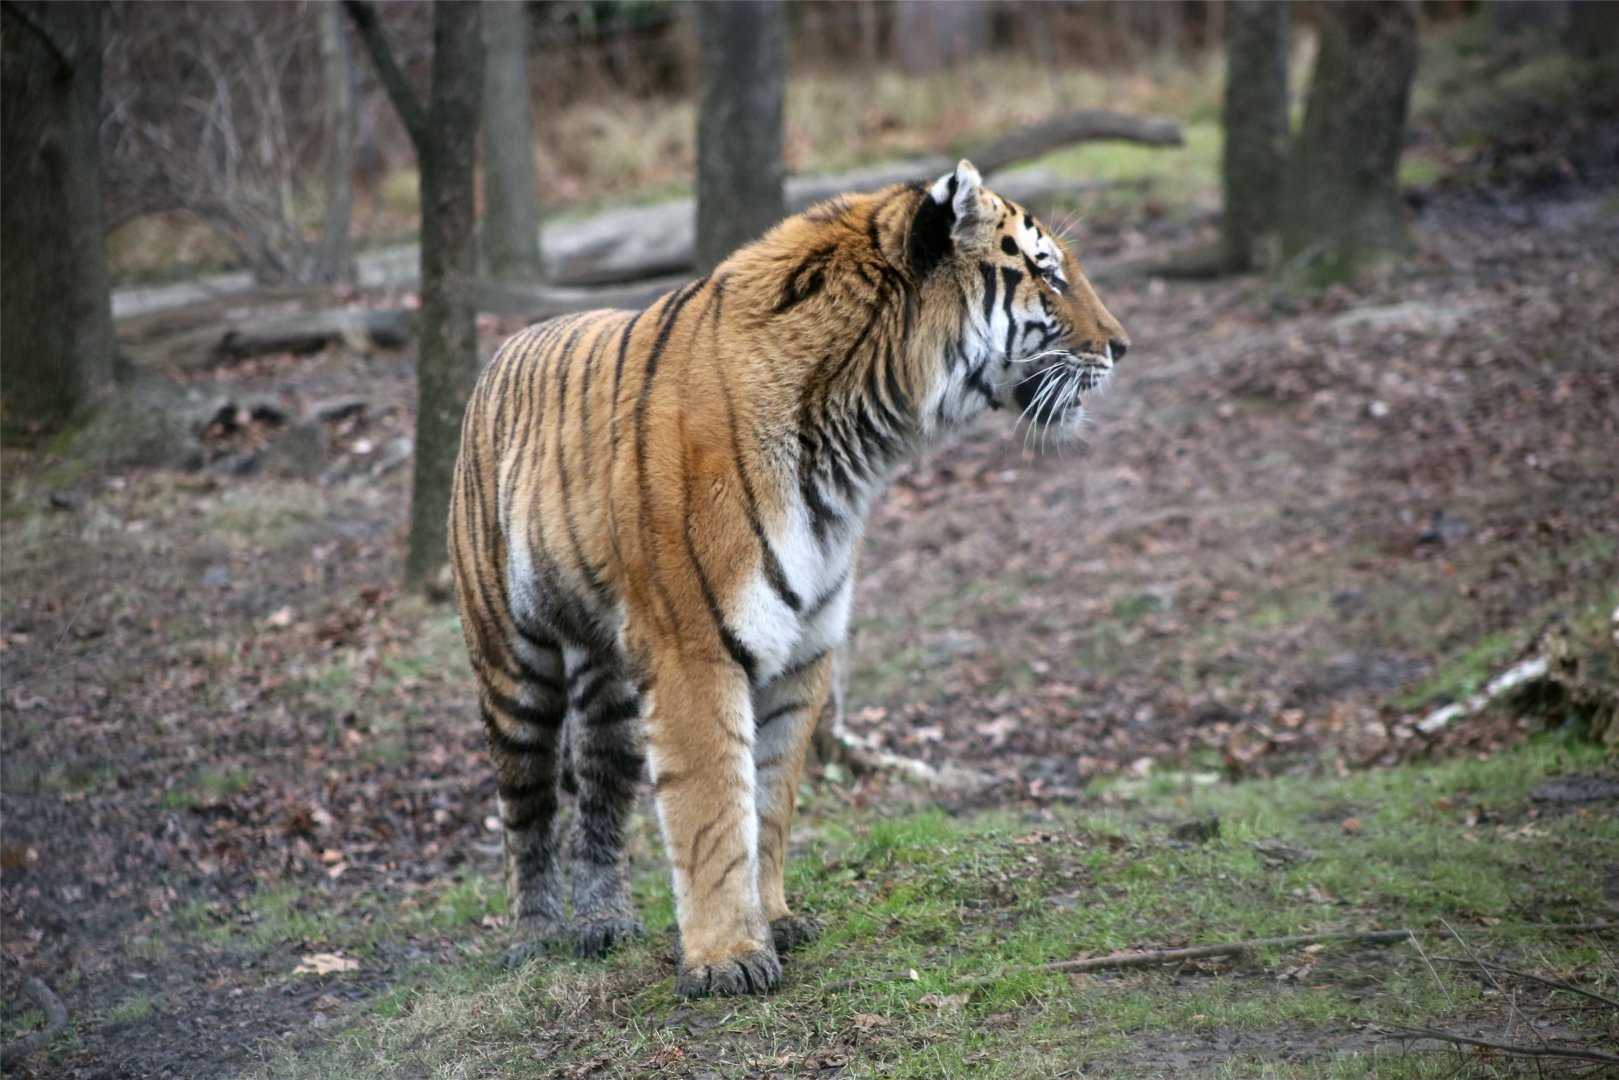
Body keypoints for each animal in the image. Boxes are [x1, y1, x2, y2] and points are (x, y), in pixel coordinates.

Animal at [448, 160, 1128, 998]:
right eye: (1046, 274)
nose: (1122, 346)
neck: (855, 438)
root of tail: (505, 348)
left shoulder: (803, 648)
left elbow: (768, 800)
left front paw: (772, 919)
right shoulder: (694, 649)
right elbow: (711, 806)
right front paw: (727, 959)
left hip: (607, 678)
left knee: (601, 796)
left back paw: (605, 924)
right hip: (512, 661)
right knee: (528, 805)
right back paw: (537, 937)